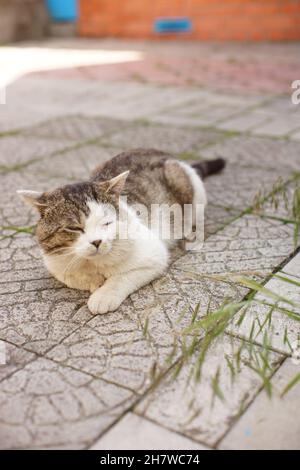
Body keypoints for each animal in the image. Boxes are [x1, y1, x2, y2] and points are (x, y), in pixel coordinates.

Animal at [18, 149, 225, 314]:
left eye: (107, 223)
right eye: (74, 228)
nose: (97, 242)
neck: (93, 262)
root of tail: (167, 155)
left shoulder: (154, 256)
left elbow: (121, 277)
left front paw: (103, 294)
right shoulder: (55, 264)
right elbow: (74, 276)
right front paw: (94, 281)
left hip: (186, 187)